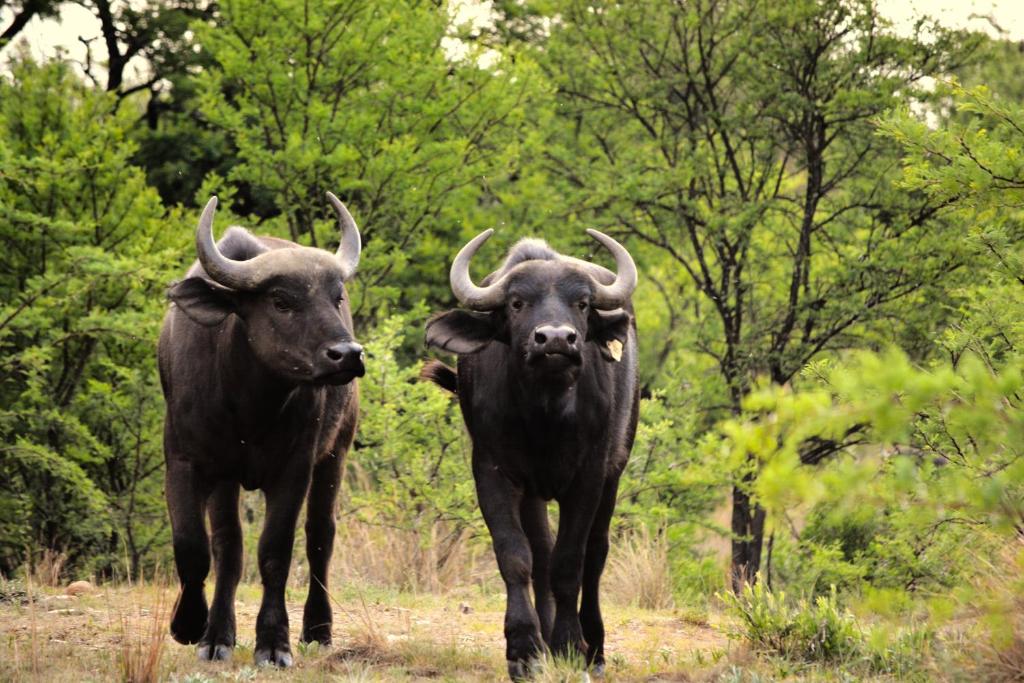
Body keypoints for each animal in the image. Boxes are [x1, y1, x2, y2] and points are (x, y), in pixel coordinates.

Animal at [159, 193, 364, 666]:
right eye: (281, 301)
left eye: (336, 296)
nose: (347, 354)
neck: (248, 405)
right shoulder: (187, 462)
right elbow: (197, 547)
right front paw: (196, 628)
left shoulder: (294, 469)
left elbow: (275, 552)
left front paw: (273, 643)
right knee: (227, 547)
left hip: (336, 452)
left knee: (320, 537)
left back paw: (318, 628)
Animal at [423, 229, 639, 678]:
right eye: (517, 303)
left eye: (582, 303)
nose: (555, 339)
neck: (546, 415)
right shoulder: (494, 473)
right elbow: (517, 556)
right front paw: (524, 649)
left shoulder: (590, 476)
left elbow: (570, 562)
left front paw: (571, 645)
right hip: (535, 492)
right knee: (540, 551)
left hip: (616, 468)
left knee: (596, 553)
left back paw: (595, 649)